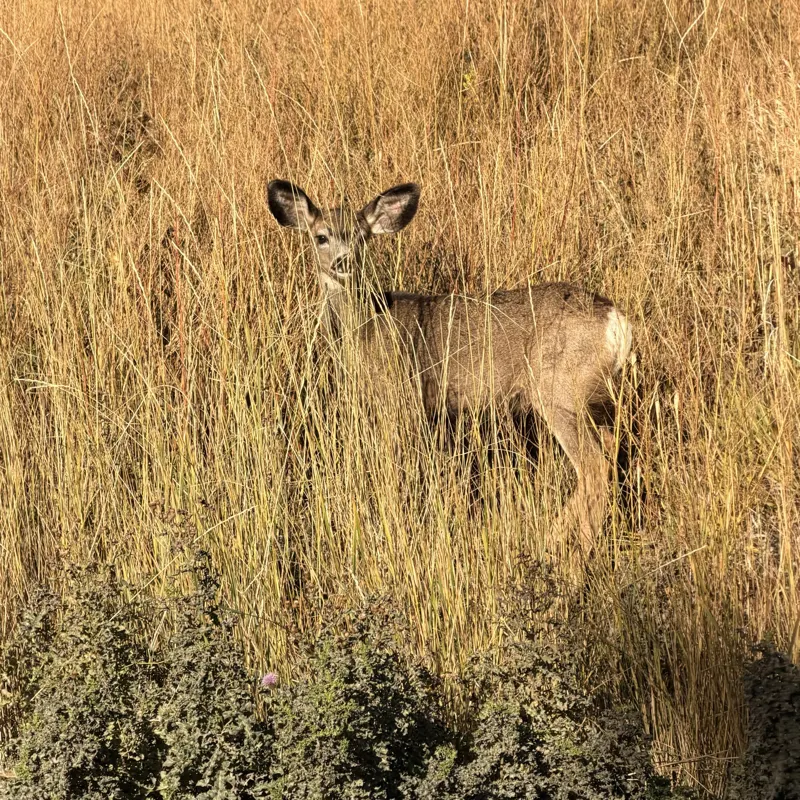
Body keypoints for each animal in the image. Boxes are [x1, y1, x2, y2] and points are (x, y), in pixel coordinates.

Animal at [267, 179, 632, 560]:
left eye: (361, 237)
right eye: (321, 236)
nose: (343, 261)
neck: (368, 326)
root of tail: (617, 321)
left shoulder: (404, 400)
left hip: (558, 391)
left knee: (593, 464)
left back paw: (563, 543)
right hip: (588, 398)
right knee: (610, 447)